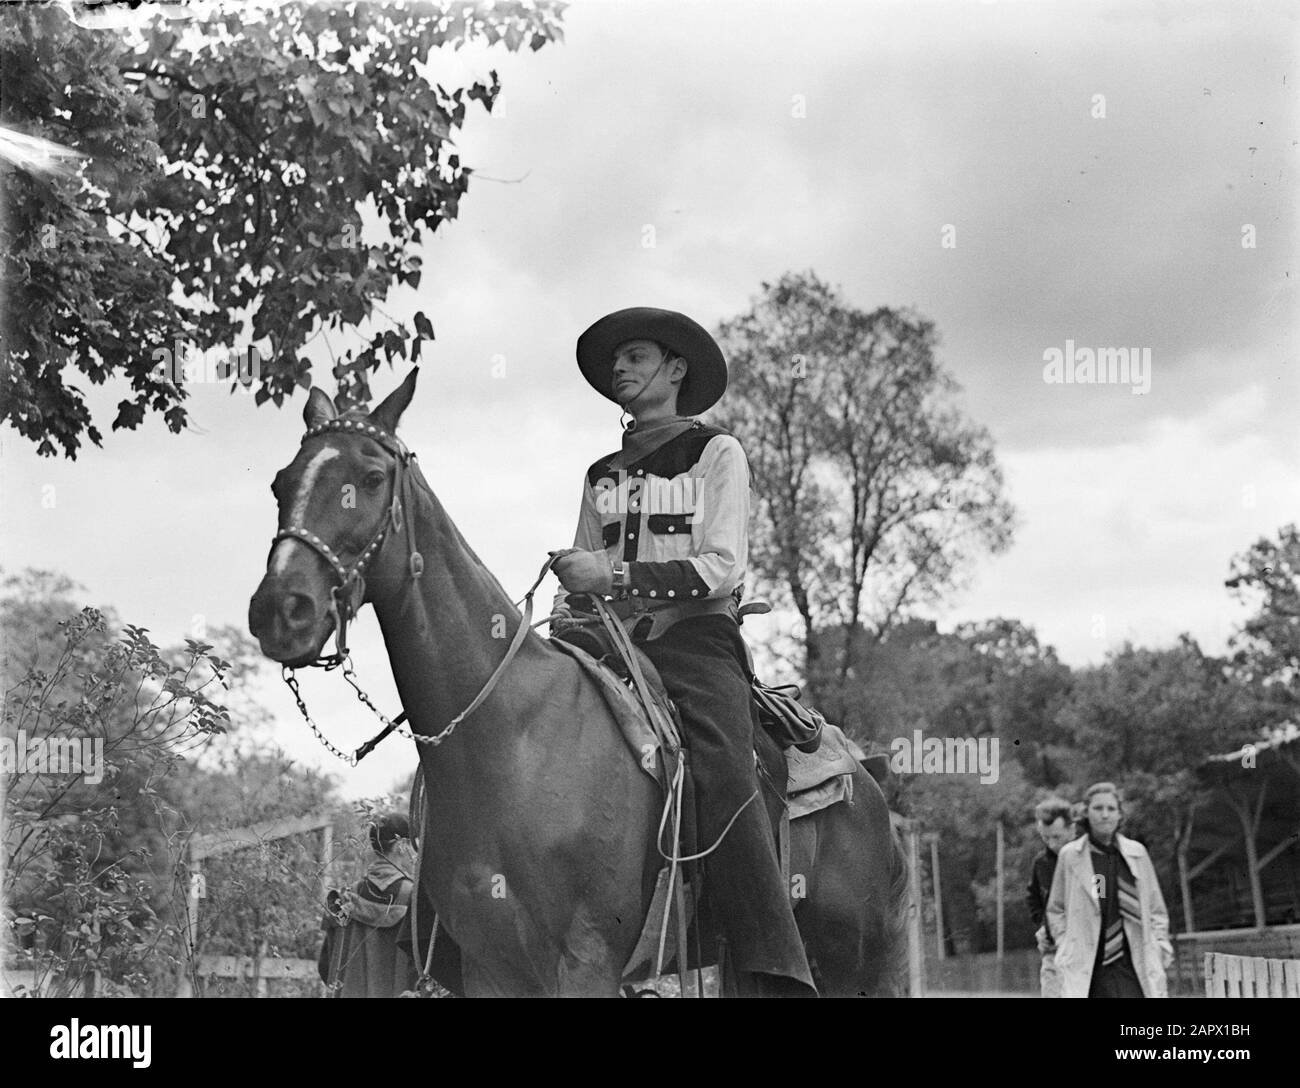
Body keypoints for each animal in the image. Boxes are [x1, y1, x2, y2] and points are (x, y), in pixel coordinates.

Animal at [250, 369, 904, 998]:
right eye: (281, 483)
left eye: (371, 475)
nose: (281, 609)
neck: (512, 739)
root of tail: (868, 781)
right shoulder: (494, 969)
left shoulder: (586, 961)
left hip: (854, 965)